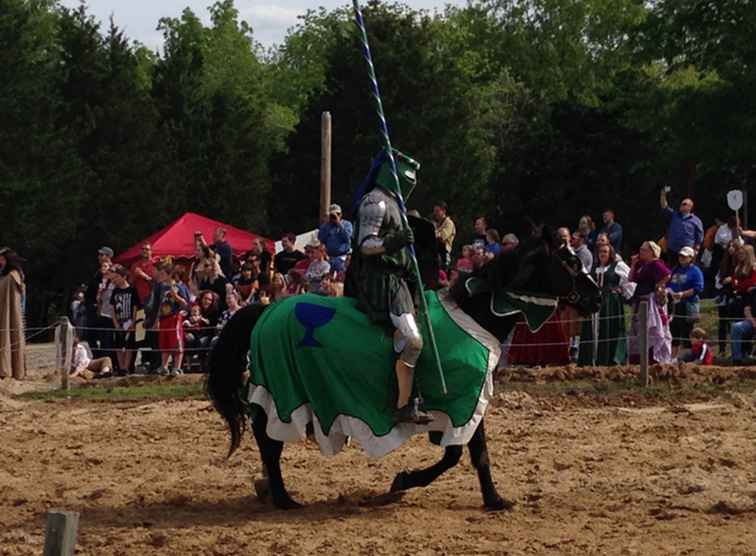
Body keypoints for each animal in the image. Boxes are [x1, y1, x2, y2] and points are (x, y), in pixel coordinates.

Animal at [205, 229, 596, 512]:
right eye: (568, 262)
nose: (596, 293)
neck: (474, 316)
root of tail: (265, 310)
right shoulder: (463, 402)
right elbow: (460, 454)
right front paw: (408, 483)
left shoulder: (466, 405)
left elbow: (471, 454)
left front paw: (490, 499)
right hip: (281, 394)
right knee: (269, 442)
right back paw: (282, 498)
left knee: (267, 442)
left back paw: (269, 490)